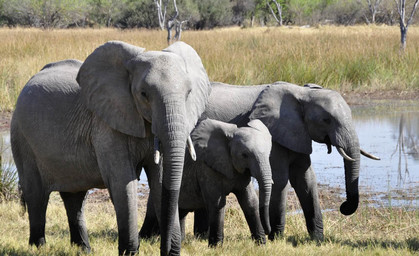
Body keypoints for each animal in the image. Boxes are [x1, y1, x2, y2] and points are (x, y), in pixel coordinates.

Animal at [10, 41, 210, 255]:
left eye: (189, 94)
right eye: (144, 94)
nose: (165, 250)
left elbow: (159, 179)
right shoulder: (106, 124)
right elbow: (122, 182)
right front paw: (129, 253)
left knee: (75, 197)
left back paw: (84, 250)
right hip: (22, 137)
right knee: (36, 195)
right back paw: (38, 247)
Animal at [143, 118, 274, 246]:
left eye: (269, 154)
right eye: (244, 155)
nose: (269, 231)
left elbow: (250, 201)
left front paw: (261, 244)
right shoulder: (206, 168)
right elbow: (217, 203)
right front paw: (216, 247)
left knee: (181, 212)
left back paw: (179, 241)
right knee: (154, 212)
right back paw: (146, 239)